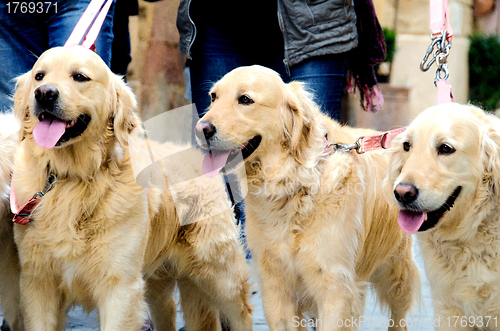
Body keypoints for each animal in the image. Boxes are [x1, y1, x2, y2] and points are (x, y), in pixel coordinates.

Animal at [11, 46, 254, 331]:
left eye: (80, 77)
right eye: (39, 76)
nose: (44, 93)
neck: (72, 179)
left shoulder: (120, 287)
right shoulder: (38, 283)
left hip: (220, 272)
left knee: (242, 311)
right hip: (159, 285)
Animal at [194, 65, 418, 331]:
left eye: (245, 100)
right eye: (213, 97)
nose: (201, 129)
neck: (292, 184)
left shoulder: (334, 287)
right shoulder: (275, 287)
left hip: (397, 271)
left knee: (399, 314)